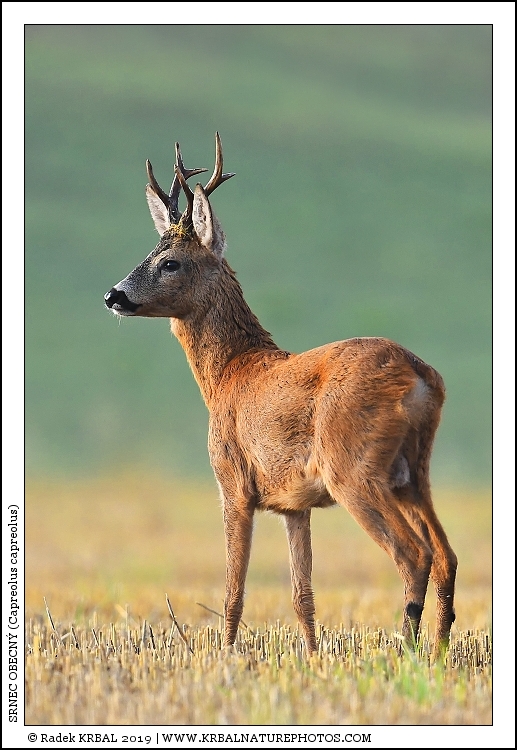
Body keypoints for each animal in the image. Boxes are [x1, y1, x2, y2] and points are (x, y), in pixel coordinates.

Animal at [105, 133, 457, 658]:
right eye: (148, 251)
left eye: (170, 262)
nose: (114, 295)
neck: (229, 374)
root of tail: (420, 375)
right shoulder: (294, 504)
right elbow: (301, 595)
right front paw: (311, 657)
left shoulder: (233, 481)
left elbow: (234, 588)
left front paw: (226, 654)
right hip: (413, 471)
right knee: (446, 556)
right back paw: (436, 653)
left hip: (353, 467)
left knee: (415, 554)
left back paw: (406, 650)